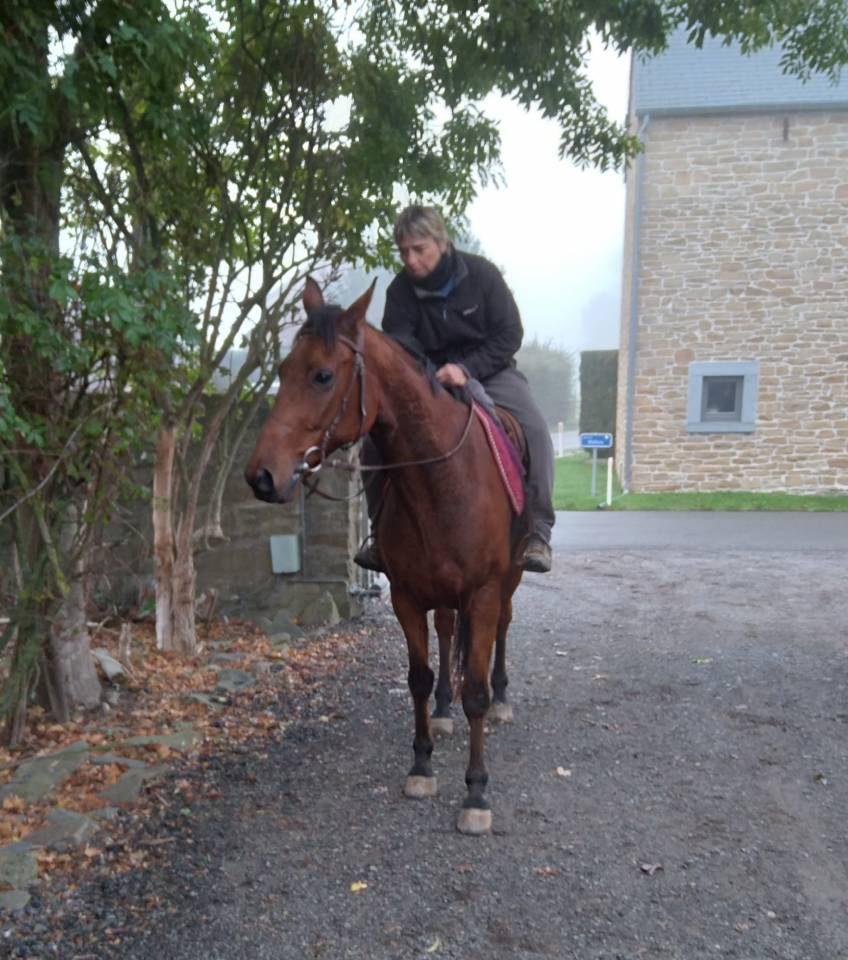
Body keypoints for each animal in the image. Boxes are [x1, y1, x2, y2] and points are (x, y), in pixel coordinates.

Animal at [245, 277, 525, 835]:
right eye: (283, 371)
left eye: (323, 374)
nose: (261, 476)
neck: (443, 481)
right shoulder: (407, 596)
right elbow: (418, 679)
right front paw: (421, 765)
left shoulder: (483, 592)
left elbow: (476, 692)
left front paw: (475, 793)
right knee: (447, 634)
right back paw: (444, 712)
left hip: (511, 580)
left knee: (502, 629)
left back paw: (503, 699)